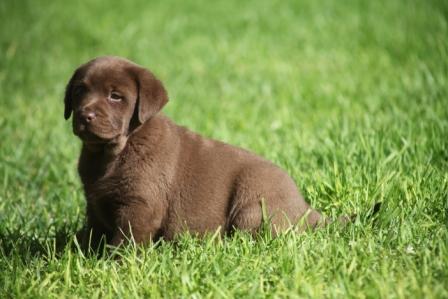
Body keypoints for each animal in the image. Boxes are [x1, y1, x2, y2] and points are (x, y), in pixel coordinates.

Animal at [65, 56, 334, 251]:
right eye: (79, 91)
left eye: (115, 96)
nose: (85, 115)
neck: (110, 153)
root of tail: (306, 210)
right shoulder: (94, 202)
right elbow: (93, 233)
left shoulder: (140, 205)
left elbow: (125, 241)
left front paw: (113, 264)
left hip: (253, 205)